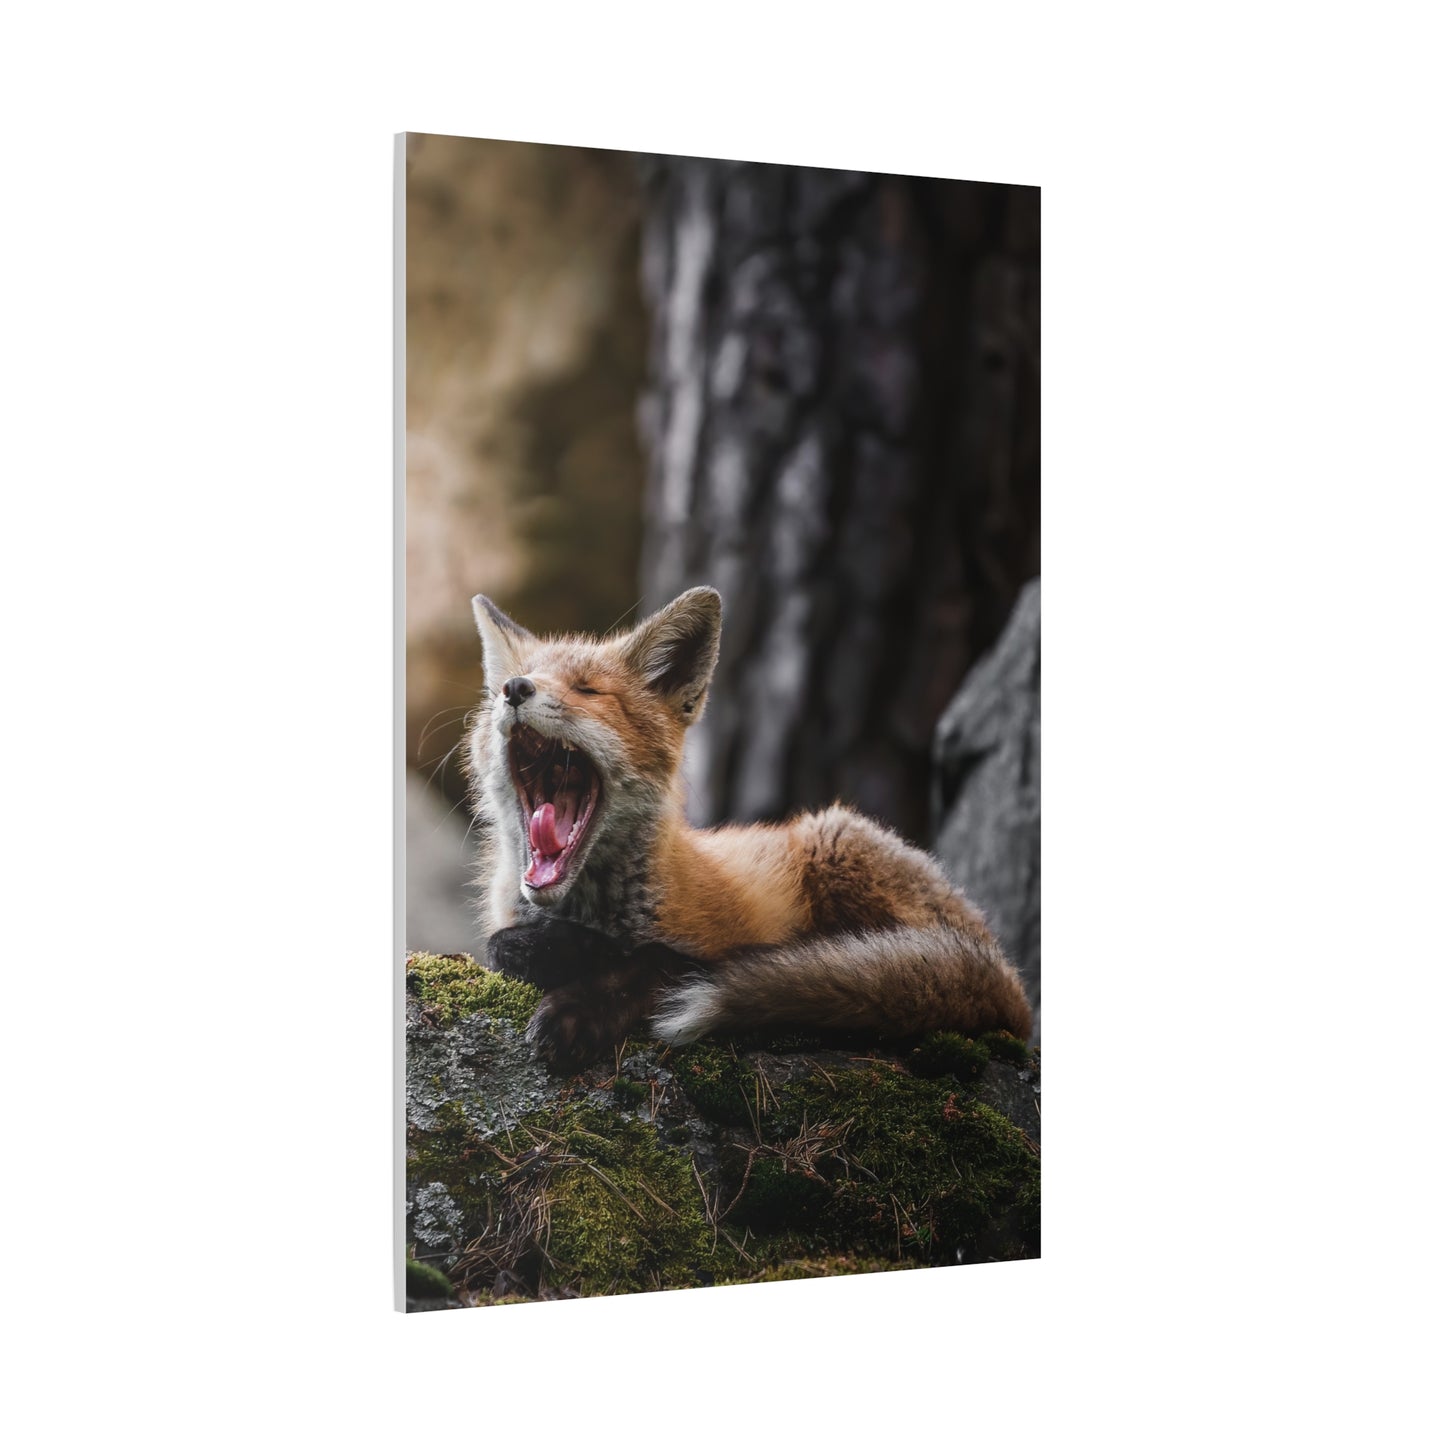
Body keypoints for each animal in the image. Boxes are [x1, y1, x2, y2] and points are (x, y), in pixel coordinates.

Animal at [466, 586, 1032, 1068]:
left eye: (587, 690)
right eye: (505, 689)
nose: (514, 689)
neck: (587, 911)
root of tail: (1007, 974)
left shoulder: (710, 948)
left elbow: (655, 964)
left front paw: (580, 1005)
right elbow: (500, 946)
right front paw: (556, 952)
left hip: (835, 840)